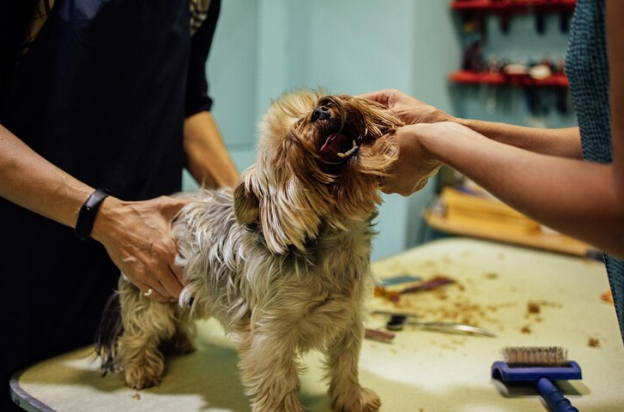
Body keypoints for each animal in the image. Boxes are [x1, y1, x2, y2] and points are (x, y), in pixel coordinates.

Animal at [96, 89, 403, 412]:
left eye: (315, 101)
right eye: (284, 144)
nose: (320, 111)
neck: (332, 238)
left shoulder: (350, 318)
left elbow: (346, 363)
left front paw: (354, 399)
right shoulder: (271, 332)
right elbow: (279, 381)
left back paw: (179, 342)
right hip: (149, 286)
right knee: (138, 331)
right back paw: (140, 369)